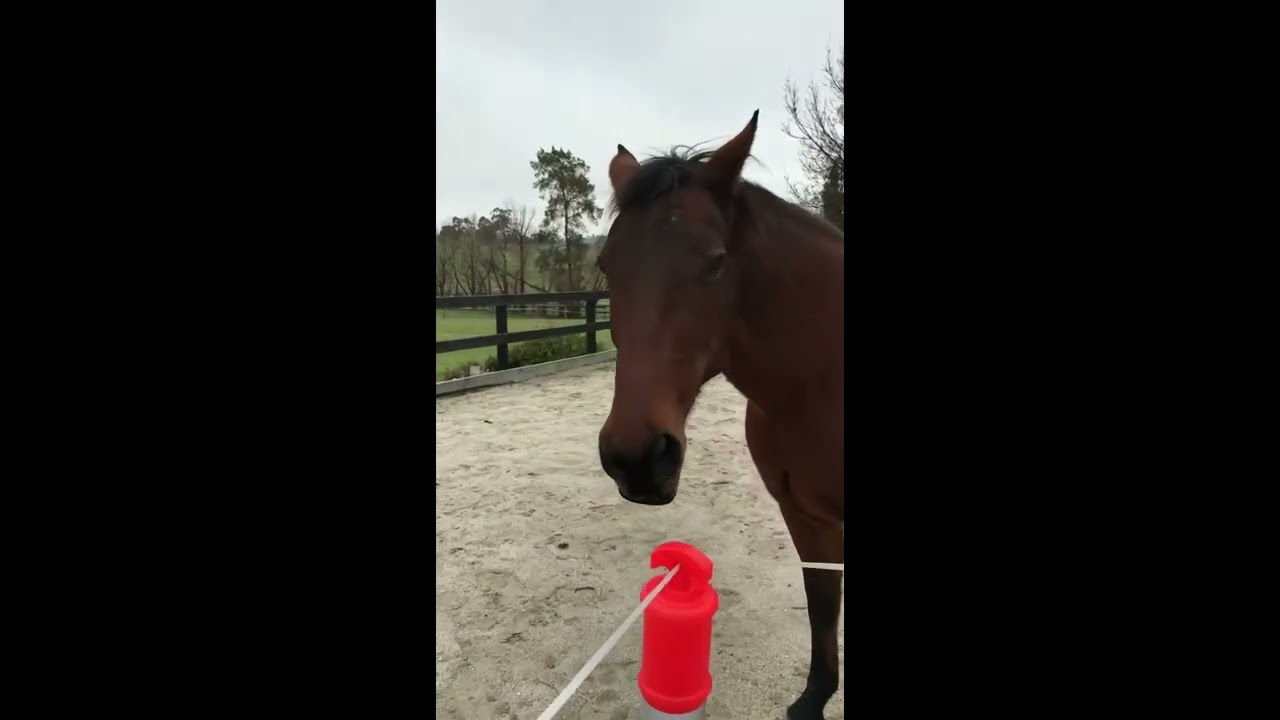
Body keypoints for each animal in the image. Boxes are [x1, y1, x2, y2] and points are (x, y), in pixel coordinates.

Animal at [595, 111, 844, 719]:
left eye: (716, 263)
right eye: (607, 265)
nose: (636, 459)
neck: (820, 384)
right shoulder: (806, 518)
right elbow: (822, 602)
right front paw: (814, 698)